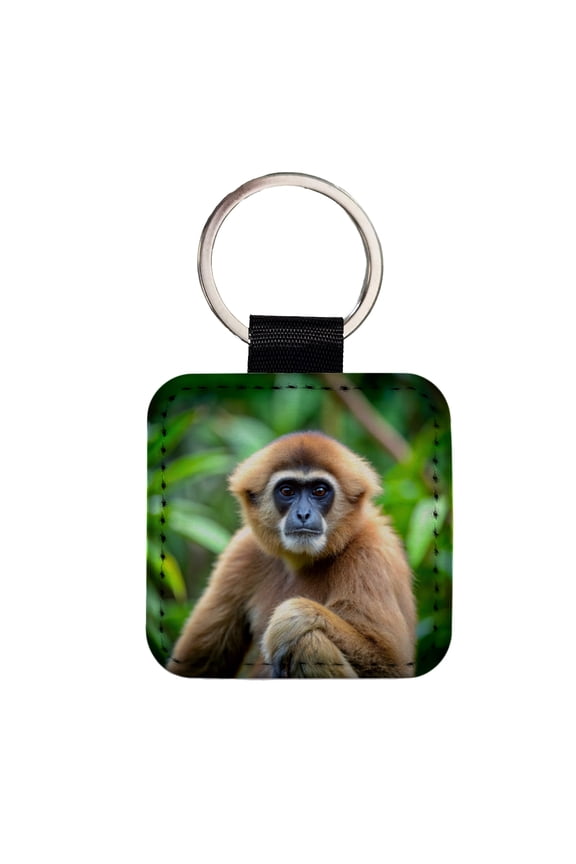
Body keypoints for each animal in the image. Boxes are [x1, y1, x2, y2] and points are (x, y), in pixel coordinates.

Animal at [166, 431, 416, 678]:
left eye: (319, 491)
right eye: (287, 491)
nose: (303, 513)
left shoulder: (370, 552)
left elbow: (390, 664)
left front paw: (291, 618)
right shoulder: (241, 551)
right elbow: (199, 664)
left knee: (308, 641)